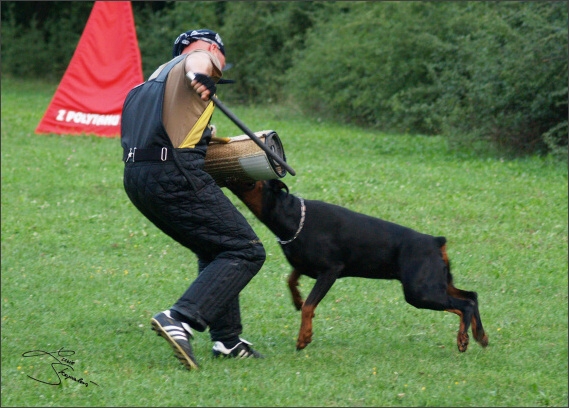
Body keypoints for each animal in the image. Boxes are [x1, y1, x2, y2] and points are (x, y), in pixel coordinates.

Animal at [226, 180, 488, 352]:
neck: (292, 216)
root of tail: (436, 241)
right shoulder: (305, 266)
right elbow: (291, 280)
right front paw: (297, 299)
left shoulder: (330, 271)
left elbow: (309, 306)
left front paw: (304, 337)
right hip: (436, 283)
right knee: (472, 296)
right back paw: (480, 335)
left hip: (420, 292)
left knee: (464, 304)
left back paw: (463, 339)